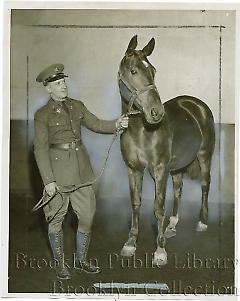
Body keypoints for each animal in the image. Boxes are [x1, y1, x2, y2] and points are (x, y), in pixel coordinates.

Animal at [118, 35, 216, 264]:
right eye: (133, 71)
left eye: (153, 71)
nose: (157, 112)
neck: (141, 131)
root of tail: (197, 105)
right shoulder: (133, 169)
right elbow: (135, 203)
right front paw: (130, 243)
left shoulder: (160, 169)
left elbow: (158, 207)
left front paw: (160, 250)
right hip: (178, 166)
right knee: (179, 190)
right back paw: (172, 225)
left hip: (205, 156)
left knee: (205, 185)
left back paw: (202, 222)